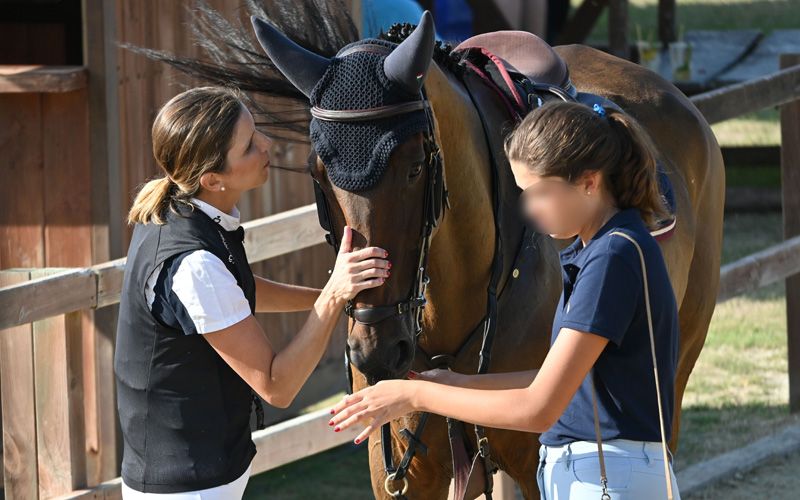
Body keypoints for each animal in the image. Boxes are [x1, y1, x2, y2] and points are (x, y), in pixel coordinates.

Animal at [144, 2, 724, 496]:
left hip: (673, 371)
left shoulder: (535, 455)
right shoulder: (401, 472)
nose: (376, 352)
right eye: (318, 170)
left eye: (415, 167)